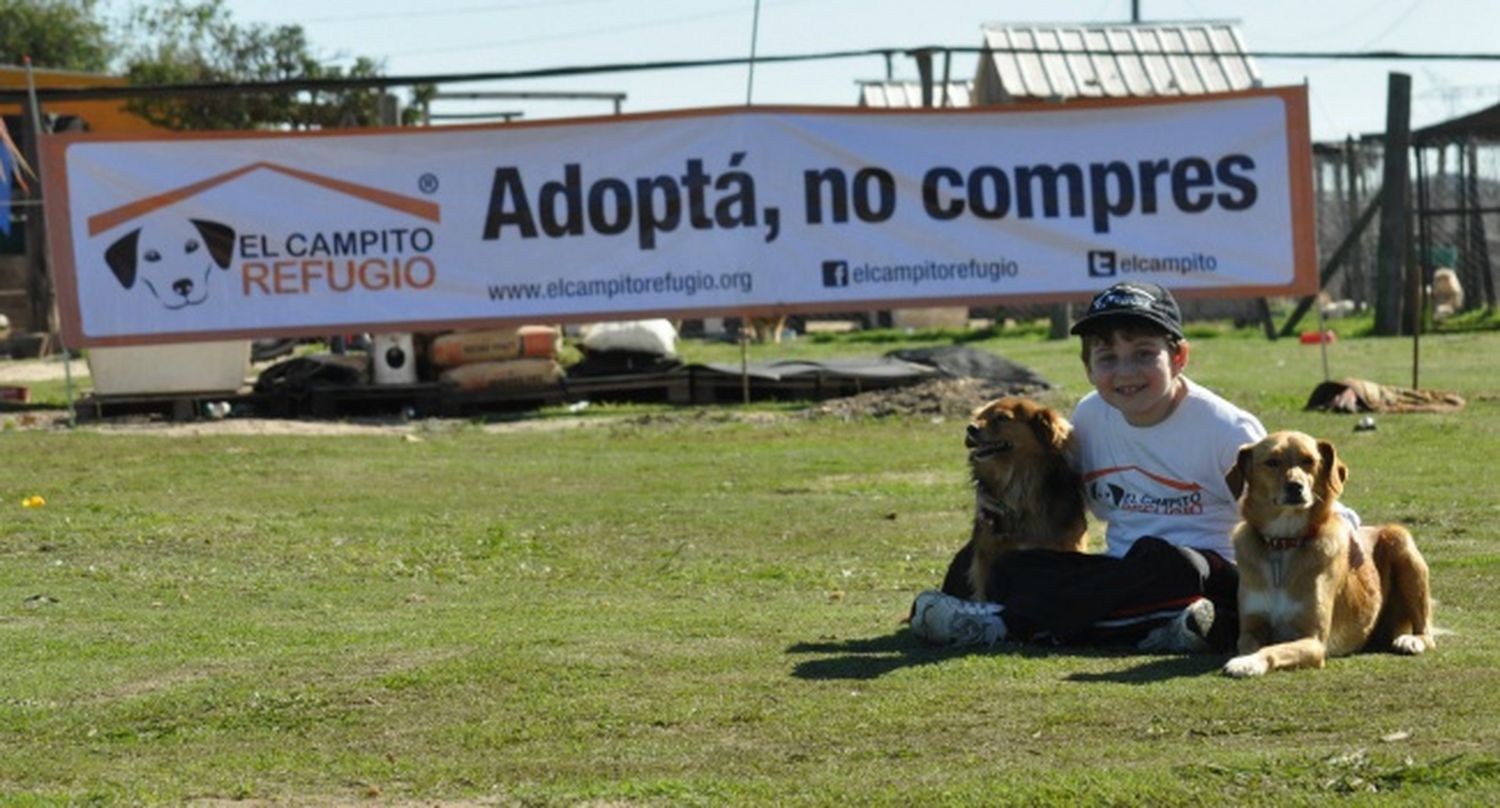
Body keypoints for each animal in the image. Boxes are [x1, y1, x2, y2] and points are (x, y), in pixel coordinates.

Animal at [942, 395, 1086, 602]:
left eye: (1003, 418)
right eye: (981, 415)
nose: (970, 428)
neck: (1018, 480)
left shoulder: (1068, 546)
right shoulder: (987, 556)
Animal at [1218, 431, 1428, 680]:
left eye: (1309, 460)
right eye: (1271, 462)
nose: (1295, 486)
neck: (1284, 543)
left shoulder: (1314, 640)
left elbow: (1272, 649)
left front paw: (1249, 663)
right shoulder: (1250, 629)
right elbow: (1252, 644)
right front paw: (1246, 658)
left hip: (1400, 541)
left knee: (1426, 631)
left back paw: (1411, 641)